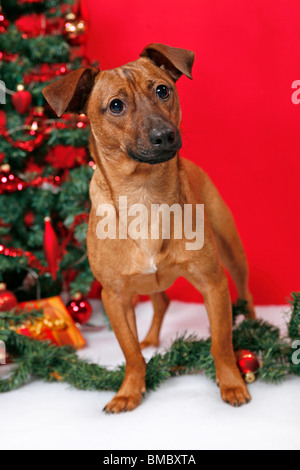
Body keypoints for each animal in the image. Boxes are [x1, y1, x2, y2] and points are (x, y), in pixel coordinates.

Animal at [43, 43, 255, 412]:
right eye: (116, 105)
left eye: (162, 90)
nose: (165, 136)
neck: (145, 195)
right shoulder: (114, 298)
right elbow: (130, 353)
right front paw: (129, 391)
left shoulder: (212, 283)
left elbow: (221, 343)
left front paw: (231, 383)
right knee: (161, 304)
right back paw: (153, 339)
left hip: (232, 252)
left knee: (244, 291)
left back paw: (255, 325)